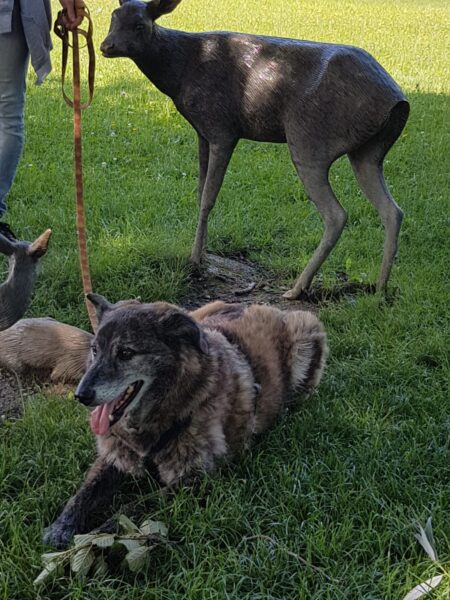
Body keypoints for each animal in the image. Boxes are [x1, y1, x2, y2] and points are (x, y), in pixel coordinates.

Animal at [43, 294, 328, 549]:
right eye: (94, 350)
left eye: (125, 353)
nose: (81, 395)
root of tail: (257, 305)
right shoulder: (115, 458)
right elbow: (83, 494)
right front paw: (61, 527)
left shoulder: (195, 478)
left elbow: (134, 505)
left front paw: (96, 536)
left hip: (306, 326)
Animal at [101, 0, 409, 299]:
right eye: (113, 17)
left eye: (140, 25)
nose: (106, 46)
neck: (180, 74)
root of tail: (397, 101)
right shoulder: (202, 132)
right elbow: (200, 193)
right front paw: (202, 254)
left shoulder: (222, 127)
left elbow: (208, 197)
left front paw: (195, 260)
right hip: (368, 151)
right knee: (392, 211)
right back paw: (380, 288)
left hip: (310, 139)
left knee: (337, 214)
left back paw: (297, 288)